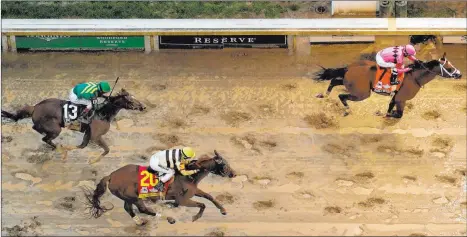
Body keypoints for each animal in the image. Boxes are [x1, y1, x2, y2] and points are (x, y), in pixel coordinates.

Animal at [0, 89, 146, 163]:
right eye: (131, 100)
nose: (143, 107)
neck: (102, 113)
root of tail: (35, 107)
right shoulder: (96, 136)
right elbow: (106, 149)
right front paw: (92, 161)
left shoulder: (88, 134)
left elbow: (82, 146)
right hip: (55, 128)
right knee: (44, 136)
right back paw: (56, 147)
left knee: (41, 134)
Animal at [82, 150, 238, 226]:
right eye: (224, 164)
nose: (234, 174)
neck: (189, 176)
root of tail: (111, 176)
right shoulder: (183, 200)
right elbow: (202, 204)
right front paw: (195, 217)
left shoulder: (194, 192)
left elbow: (209, 197)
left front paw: (223, 210)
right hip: (135, 197)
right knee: (143, 209)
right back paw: (169, 218)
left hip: (128, 197)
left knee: (129, 209)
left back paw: (140, 222)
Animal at [312, 52, 462, 118]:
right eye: (449, 68)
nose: (459, 74)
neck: (414, 77)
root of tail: (348, 68)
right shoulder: (401, 99)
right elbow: (397, 114)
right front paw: (381, 113)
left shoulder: (397, 98)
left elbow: (392, 108)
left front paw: (387, 112)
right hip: (362, 93)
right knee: (342, 95)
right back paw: (347, 110)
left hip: (349, 83)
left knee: (333, 81)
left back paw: (324, 95)